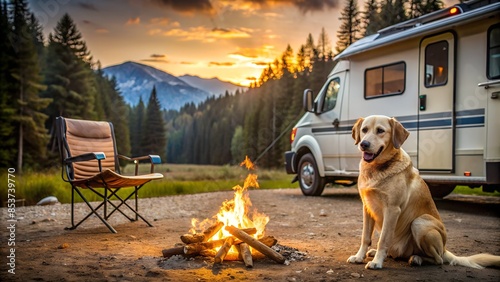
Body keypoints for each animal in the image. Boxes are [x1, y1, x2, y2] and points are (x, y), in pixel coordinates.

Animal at [348, 115, 500, 270]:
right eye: (364, 130)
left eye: (380, 130)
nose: (364, 144)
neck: (376, 168)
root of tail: (444, 249)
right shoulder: (367, 207)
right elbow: (365, 237)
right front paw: (359, 257)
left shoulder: (392, 209)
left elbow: (383, 239)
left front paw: (377, 262)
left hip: (420, 223)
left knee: (438, 259)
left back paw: (417, 259)